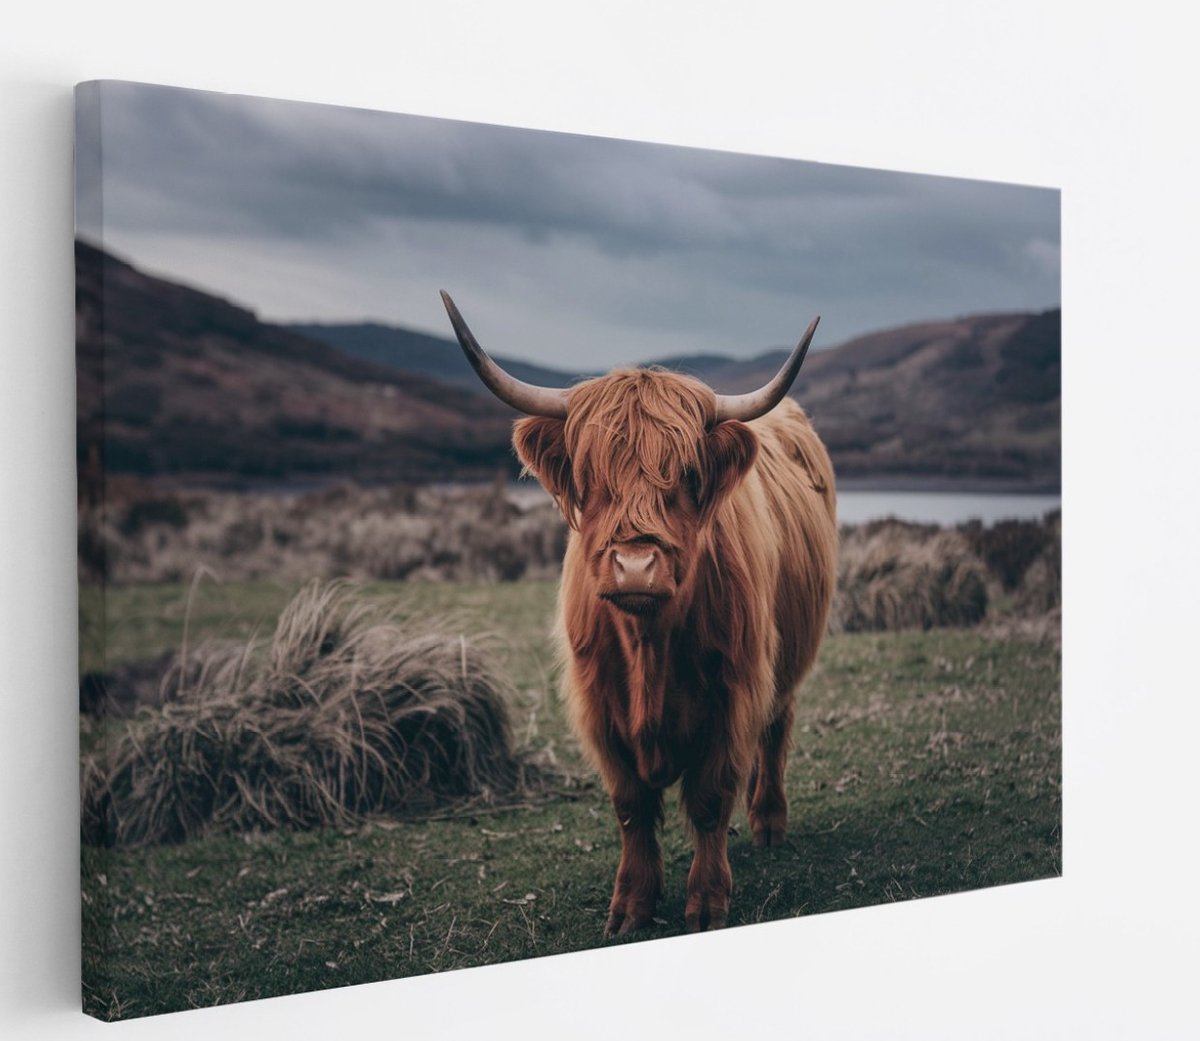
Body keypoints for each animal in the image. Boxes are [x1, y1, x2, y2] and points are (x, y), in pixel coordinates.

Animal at [440, 291, 838, 935]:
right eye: (590, 476)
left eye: (689, 476)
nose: (634, 567)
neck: (649, 645)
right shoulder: (598, 704)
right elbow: (631, 806)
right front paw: (630, 906)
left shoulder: (732, 692)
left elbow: (710, 798)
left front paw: (707, 903)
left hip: (787, 661)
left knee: (776, 727)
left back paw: (768, 822)